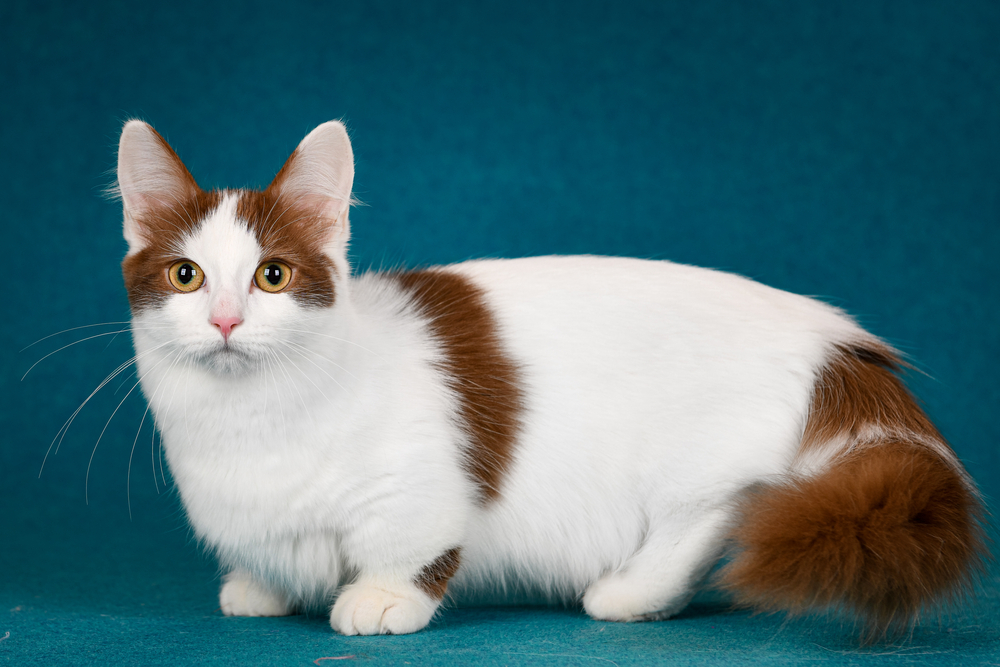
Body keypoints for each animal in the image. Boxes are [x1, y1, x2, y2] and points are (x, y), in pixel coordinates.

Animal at [117, 120, 984, 640]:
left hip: (696, 458)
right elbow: (266, 558)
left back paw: (628, 591)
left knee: (722, 506)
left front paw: (382, 598)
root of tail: (831, 335)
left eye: (272, 275)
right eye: (188, 276)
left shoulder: (420, 485)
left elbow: (411, 547)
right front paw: (258, 585)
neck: (246, 420)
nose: (226, 320)